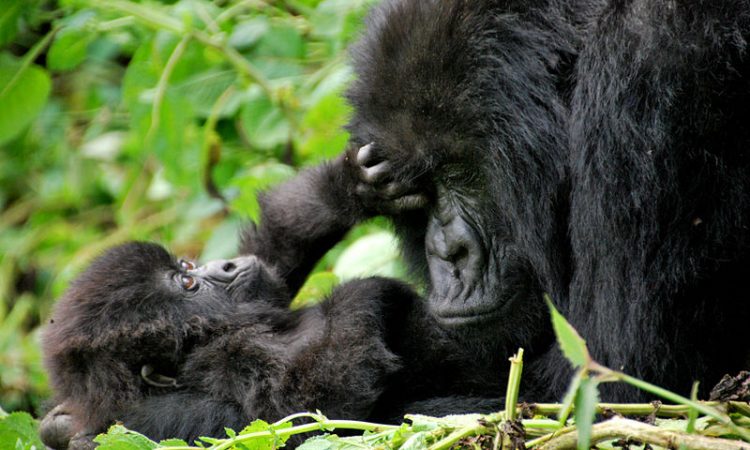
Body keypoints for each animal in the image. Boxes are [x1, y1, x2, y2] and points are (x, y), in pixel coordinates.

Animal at [42, 243, 424, 446]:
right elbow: (314, 410)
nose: (227, 262)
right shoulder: (234, 357)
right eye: (187, 282)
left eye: (187, 265)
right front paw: (370, 290)